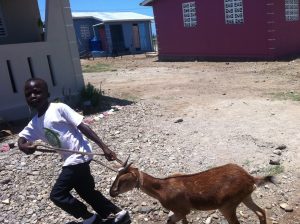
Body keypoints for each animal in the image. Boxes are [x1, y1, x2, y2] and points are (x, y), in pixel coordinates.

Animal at [109, 160, 274, 223]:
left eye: (123, 180)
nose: (112, 192)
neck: (161, 189)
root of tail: (250, 178)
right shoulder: (182, 211)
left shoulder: (181, 209)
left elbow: (171, 221)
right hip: (246, 197)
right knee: (261, 212)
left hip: (227, 205)